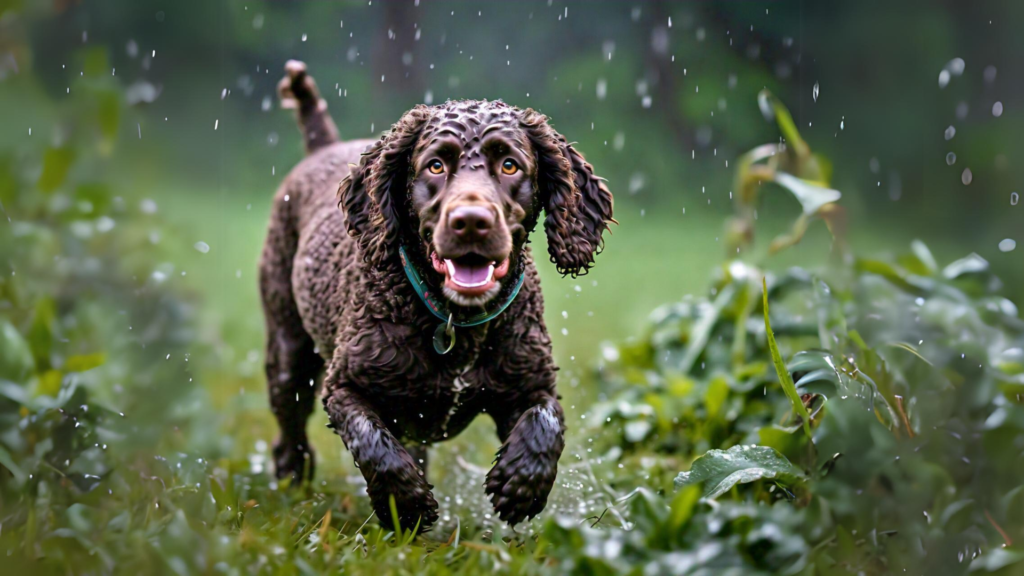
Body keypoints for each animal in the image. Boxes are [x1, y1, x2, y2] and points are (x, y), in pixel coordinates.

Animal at [262, 60, 614, 528]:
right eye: (434, 166)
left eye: (509, 165)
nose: (471, 222)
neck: (457, 323)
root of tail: (325, 147)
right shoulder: (345, 386)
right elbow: (376, 446)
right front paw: (406, 505)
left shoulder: (531, 382)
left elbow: (546, 421)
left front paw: (521, 484)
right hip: (288, 350)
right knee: (290, 428)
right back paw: (290, 478)